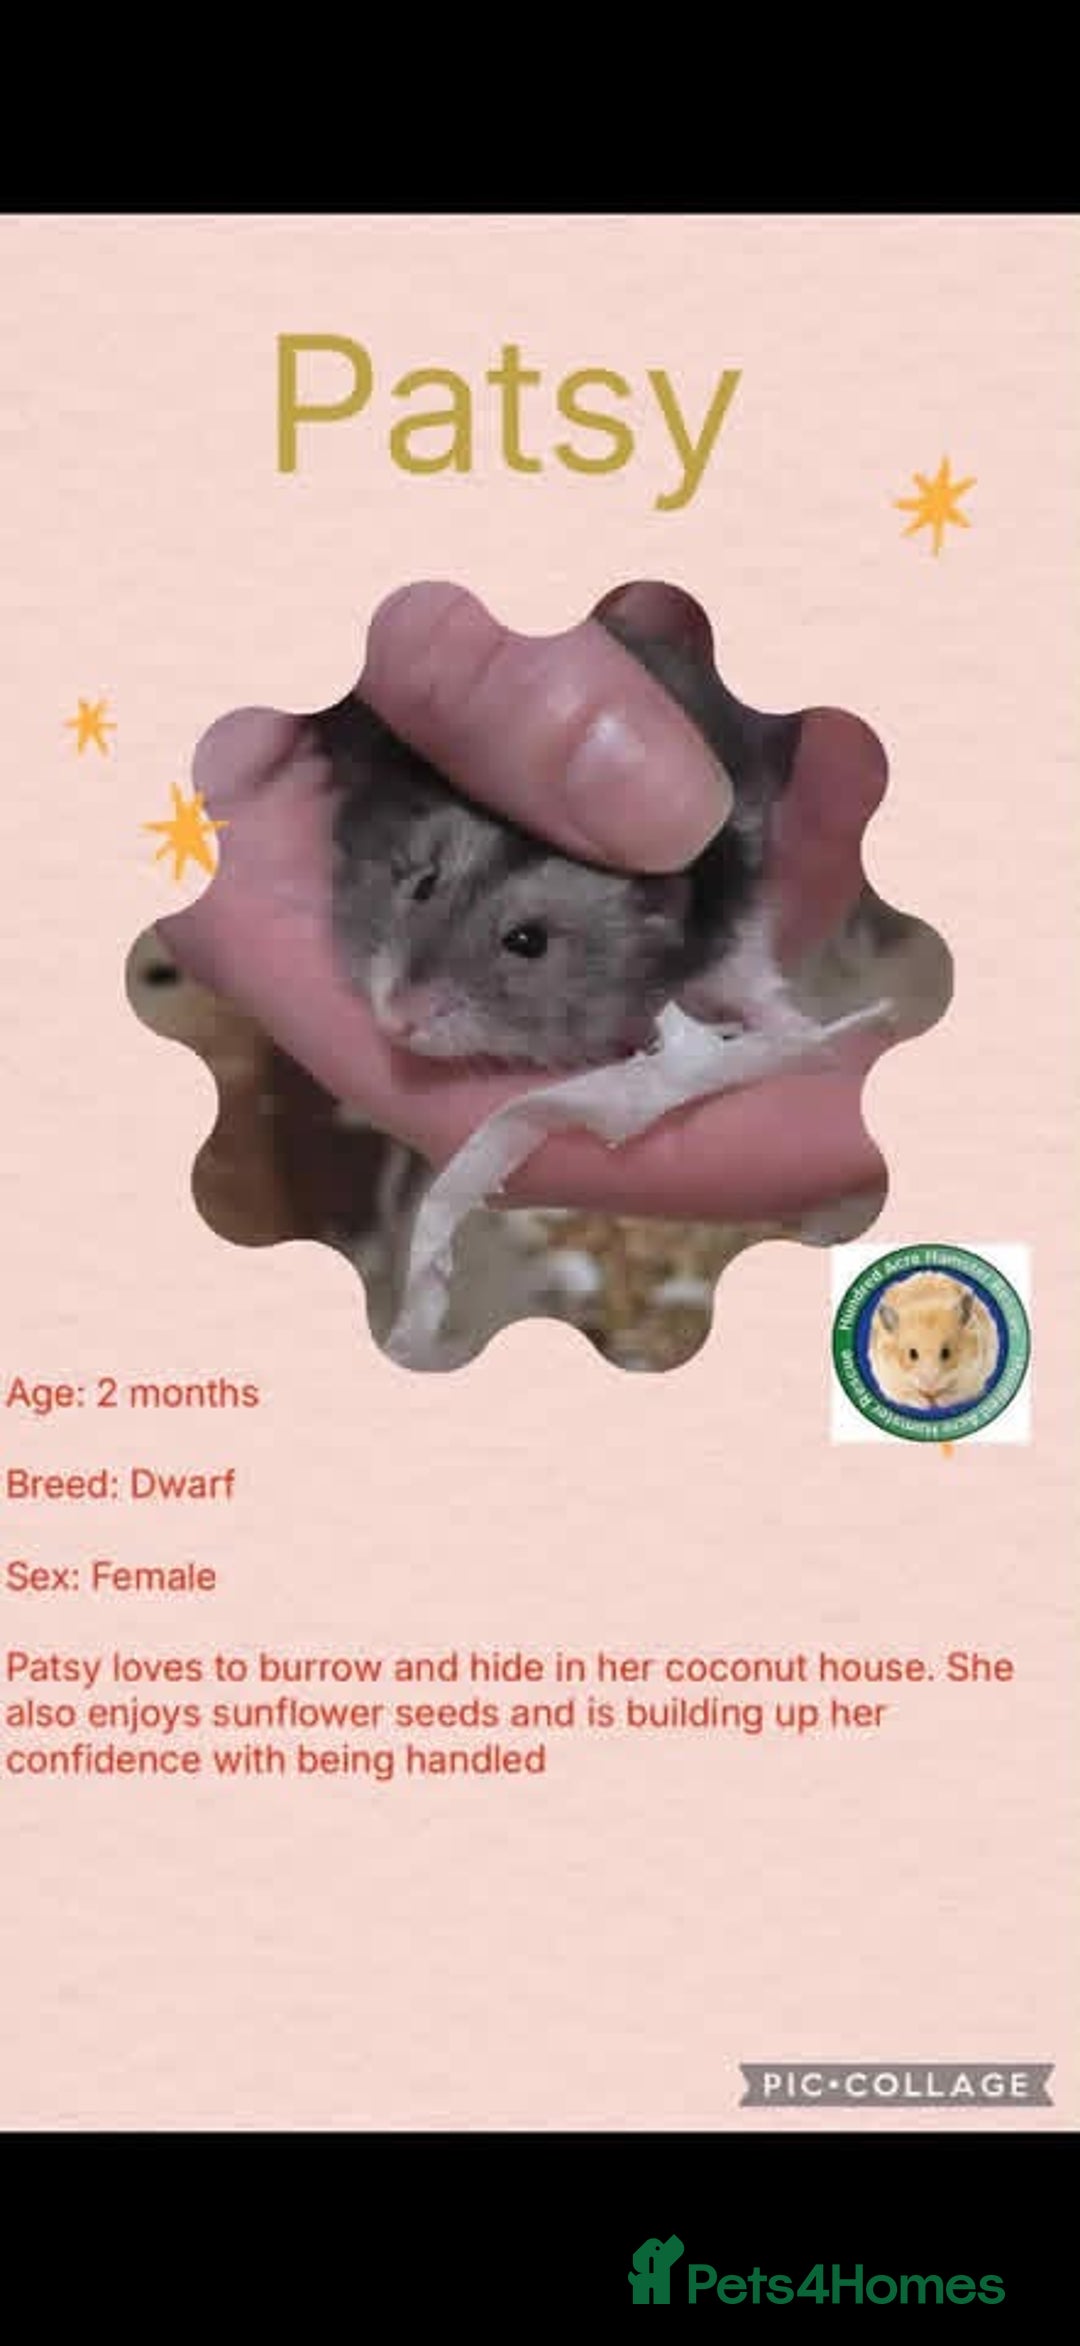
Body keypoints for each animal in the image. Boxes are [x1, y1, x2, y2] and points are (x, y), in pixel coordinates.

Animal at [868, 1273, 1000, 1410]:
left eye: (946, 1353)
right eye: (912, 1354)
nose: (930, 1391)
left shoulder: (972, 1375)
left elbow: (955, 1393)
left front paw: (939, 1401)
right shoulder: (889, 1378)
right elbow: (908, 1394)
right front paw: (925, 1404)